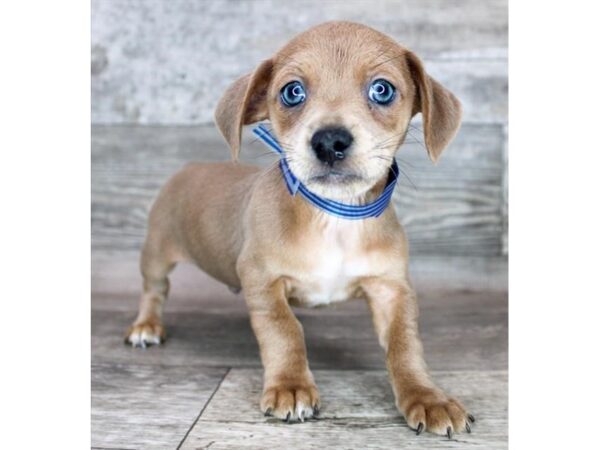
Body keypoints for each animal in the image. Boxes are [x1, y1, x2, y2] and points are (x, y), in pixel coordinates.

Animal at [125, 21, 474, 436]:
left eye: (382, 89)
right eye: (293, 92)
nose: (330, 140)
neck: (334, 216)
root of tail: (188, 167)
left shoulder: (392, 289)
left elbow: (406, 346)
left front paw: (428, 398)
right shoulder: (262, 281)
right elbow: (284, 329)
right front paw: (290, 387)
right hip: (156, 254)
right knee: (155, 291)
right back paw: (146, 326)